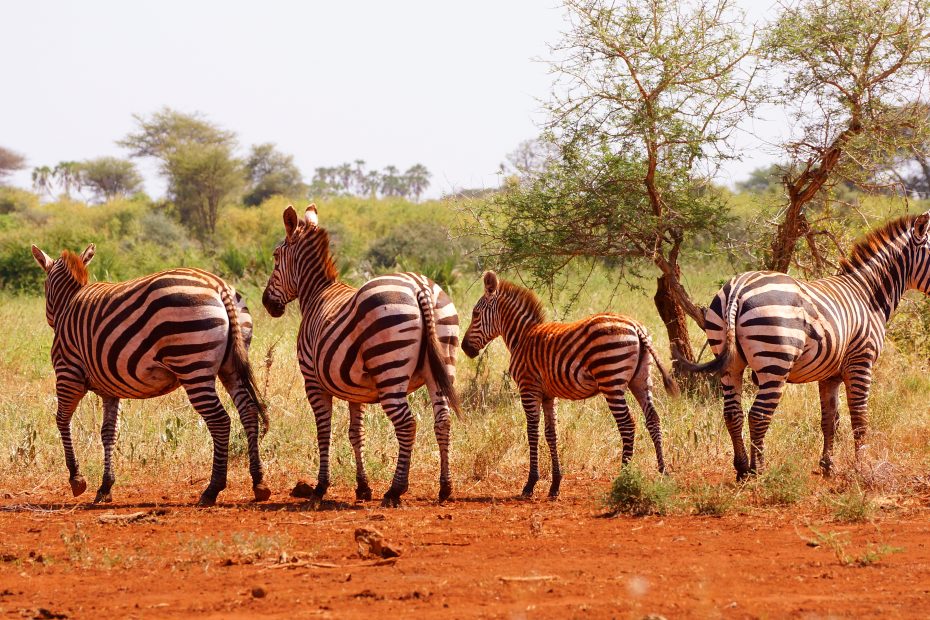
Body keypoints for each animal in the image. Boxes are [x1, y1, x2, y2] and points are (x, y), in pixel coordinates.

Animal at [29, 241, 268, 504]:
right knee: (248, 412)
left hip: (192, 364)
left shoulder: (68, 373)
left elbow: (62, 420)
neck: (68, 303)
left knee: (220, 420)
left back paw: (212, 489)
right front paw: (105, 486)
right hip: (231, 366)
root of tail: (218, 286)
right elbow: (109, 433)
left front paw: (77, 479)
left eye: (44, 288)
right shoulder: (110, 388)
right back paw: (259, 482)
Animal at [260, 206, 458, 506]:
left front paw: (320, 487)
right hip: (442, 365)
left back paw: (395, 490)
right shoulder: (355, 390)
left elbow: (324, 431)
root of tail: (419, 287)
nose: (266, 303)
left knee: (407, 424)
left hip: (390, 369)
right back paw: (445, 488)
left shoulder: (312, 381)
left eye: (274, 257)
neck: (317, 294)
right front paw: (362, 487)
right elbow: (356, 434)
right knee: (443, 420)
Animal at [460, 272, 676, 498]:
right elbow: (551, 434)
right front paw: (555, 484)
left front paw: (530, 484)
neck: (522, 336)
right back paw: (663, 473)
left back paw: (623, 478)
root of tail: (635, 325)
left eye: (475, 314)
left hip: (610, 379)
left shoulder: (528, 388)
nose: (464, 348)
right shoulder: (548, 395)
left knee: (627, 424)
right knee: (653, 418)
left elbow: (532, 432)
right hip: (641, 380)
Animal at [676, 213, 928, 480]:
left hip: (730, 362)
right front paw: (863, 467)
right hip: (775, 361)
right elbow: (859, 418)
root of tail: (738, 288)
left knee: (732, 413)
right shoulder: (861, 361)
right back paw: (759, 470)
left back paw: (743, 469)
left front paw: (828, 465)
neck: (869, 295)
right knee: (758, 415)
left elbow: (830, 420)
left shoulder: (829, 375)